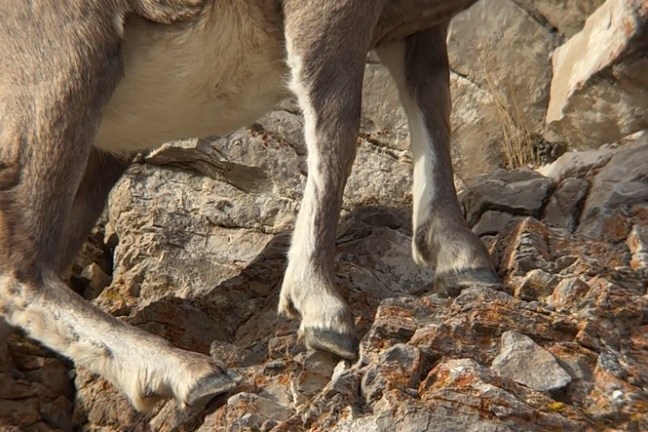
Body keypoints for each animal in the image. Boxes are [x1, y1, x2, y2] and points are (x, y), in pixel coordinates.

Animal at [0, 0, 499, 411]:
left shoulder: (420, 32)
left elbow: (435, 115)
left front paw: (465, 263)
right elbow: (338, 128)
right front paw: (323, 314)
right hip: (65, 74)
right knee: (20, 271)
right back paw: (191, 373)